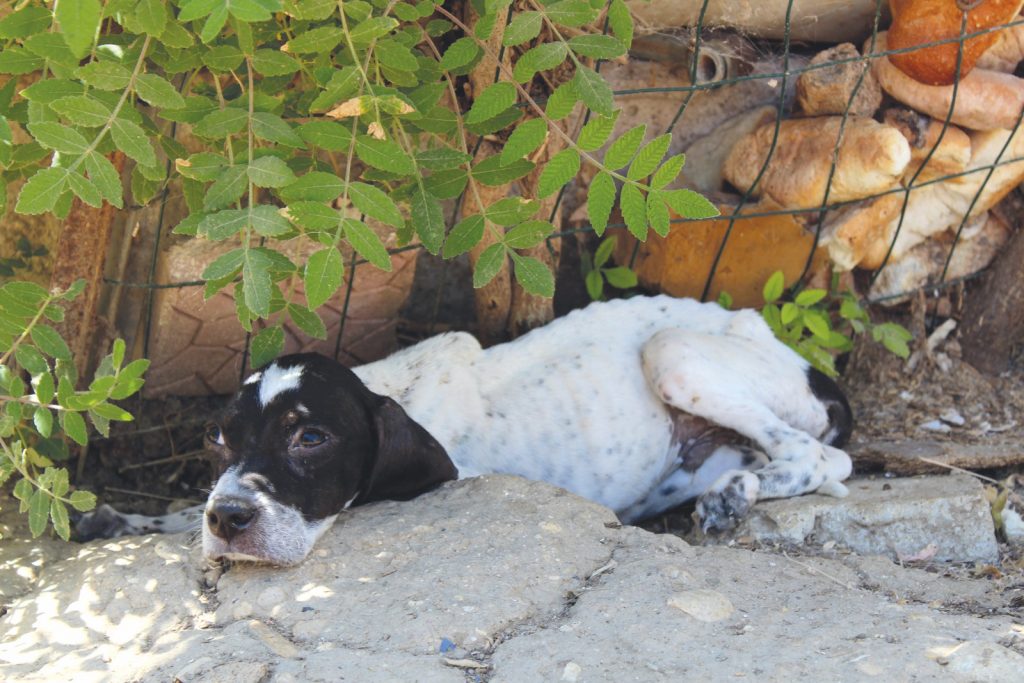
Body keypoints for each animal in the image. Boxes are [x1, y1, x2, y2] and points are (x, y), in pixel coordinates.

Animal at [75, 296, 851, 569]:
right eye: (218, 438)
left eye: (311, 439)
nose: (230, 518)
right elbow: (180, 512)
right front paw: (123, 520)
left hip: (676, 352)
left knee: (825, 458)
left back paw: (735, 496)